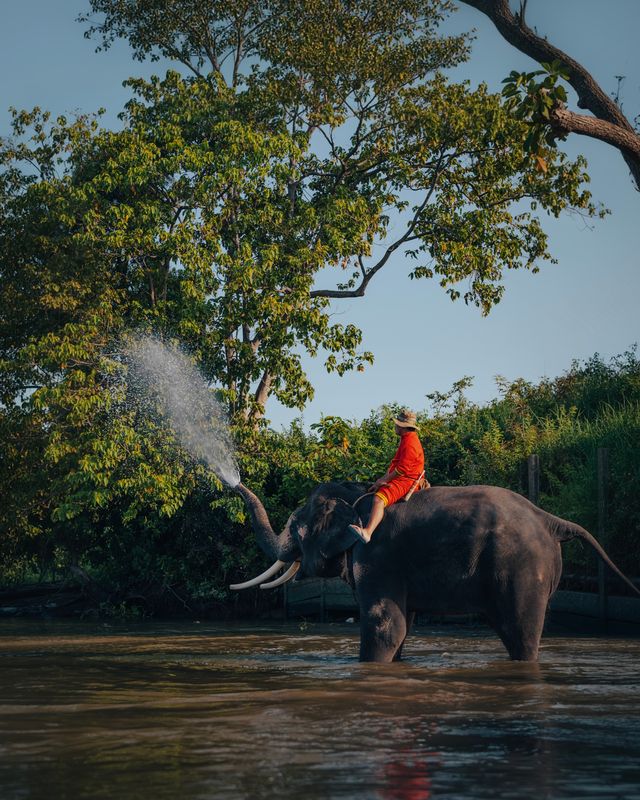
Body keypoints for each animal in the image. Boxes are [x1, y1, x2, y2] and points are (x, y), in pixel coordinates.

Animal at [231, 481, 639, 662]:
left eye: (296, 526)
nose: (232, 483)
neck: (356, 492)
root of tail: (551, 521)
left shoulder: (375, 557)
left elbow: (385, 627)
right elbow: (403, 627)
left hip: (522, 569)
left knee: (520, 632)